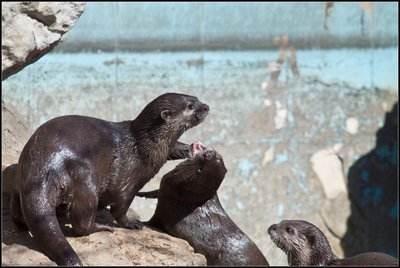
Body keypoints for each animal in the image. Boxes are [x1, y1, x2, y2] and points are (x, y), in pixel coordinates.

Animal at [9, 93, 209, 264]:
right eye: (190, 106)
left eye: (197, 98)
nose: (206, 107)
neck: (145, 147)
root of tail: (44, 165)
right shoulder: (129, 179)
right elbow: (120, 206)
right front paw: (132, 223)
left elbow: (173, 148)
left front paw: (192, 148)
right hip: (85, 176)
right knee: (82, 222)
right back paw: (100, 227)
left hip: (19, 177)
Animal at [137, 144, 268, 266]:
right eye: (218, 157)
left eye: (203, 162)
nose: (211, 152)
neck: (186, 196)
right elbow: (154, 192)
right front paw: (141, 193)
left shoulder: (164, 208)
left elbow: (152, 221)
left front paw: (138, 223)